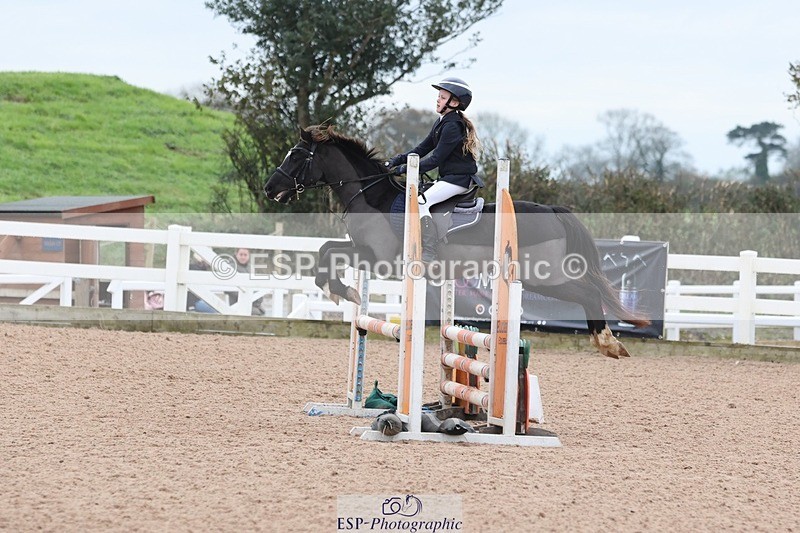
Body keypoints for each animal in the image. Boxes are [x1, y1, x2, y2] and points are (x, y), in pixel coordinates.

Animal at [264, 125, 649, 358]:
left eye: (296, 155)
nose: (270, 188)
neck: (372, 196)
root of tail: (552, 210)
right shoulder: (364, 254)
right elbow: (326, 250)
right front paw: (340, 291)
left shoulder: (378, 259)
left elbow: (328, 251)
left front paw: (342, 291)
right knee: (590, 291)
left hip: (545, 276)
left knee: (589, 293)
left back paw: (607, 342)